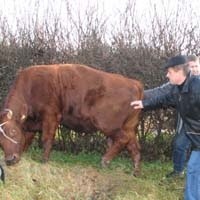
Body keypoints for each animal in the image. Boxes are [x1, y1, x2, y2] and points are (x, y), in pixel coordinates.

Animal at [0, 64, 144, 175]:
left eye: (13, 131)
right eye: (0, 140)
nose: (10, 160)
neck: (30, 87)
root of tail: (134, 83)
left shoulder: (50, 117)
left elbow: (46, 140)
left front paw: (44, 161)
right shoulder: (32, 124)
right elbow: (27, 141)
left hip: (108, 125)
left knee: (123, 139)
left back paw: (105, 161)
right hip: (129, 127)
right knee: (134, 146)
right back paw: (135, 172)